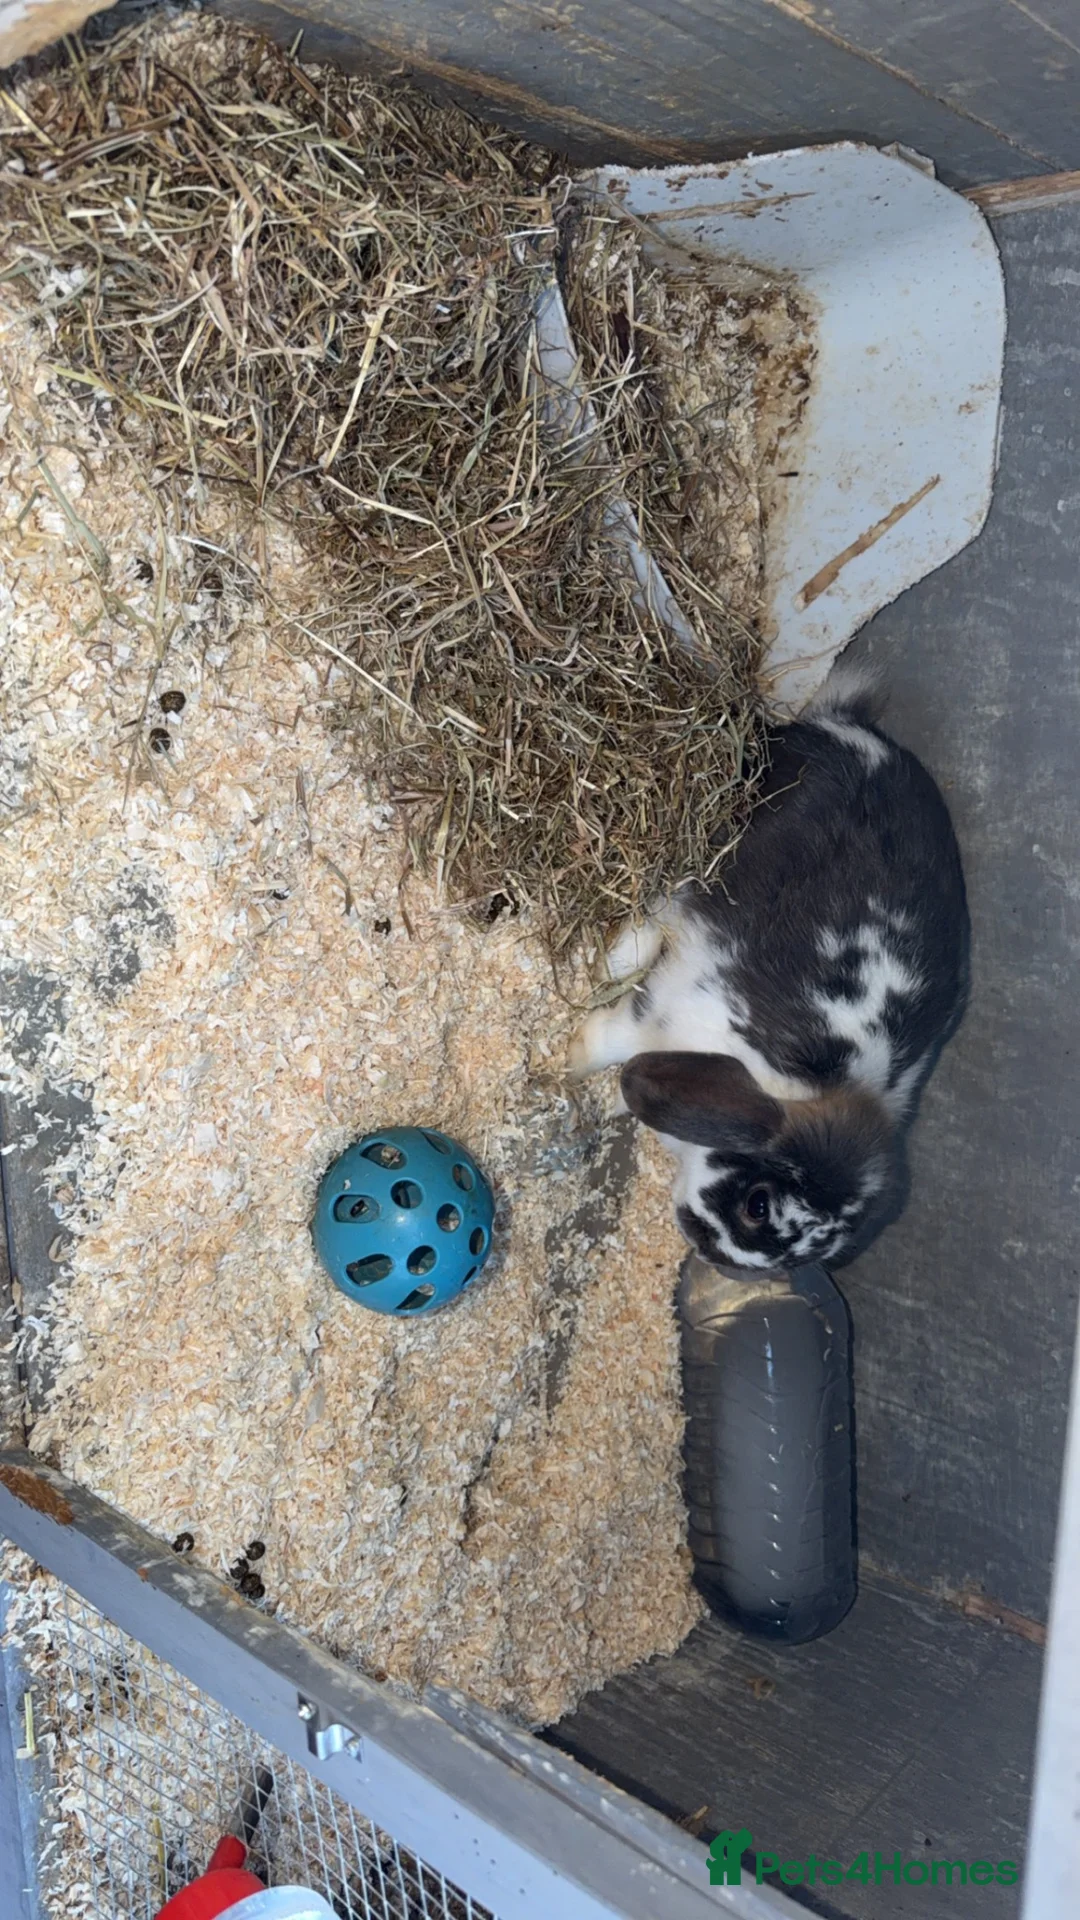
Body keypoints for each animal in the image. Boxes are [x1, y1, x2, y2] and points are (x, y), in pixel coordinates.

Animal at [568, 666, 970, 1271]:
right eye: (758, 1205)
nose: (708, 1247)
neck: (801, 1081)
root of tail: (849, 731)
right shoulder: (663, 1011)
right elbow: (603, 1042)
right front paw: (558, 1065)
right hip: (716, 844)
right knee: (661, 905)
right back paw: (607, 962)